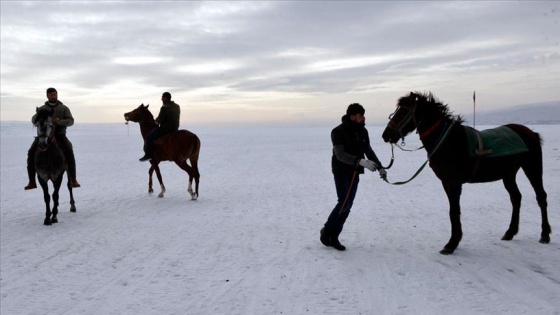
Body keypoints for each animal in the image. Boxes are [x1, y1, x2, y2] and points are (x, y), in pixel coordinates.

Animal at [380, 92, 552, 256]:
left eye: (403, 111)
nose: (386, 135)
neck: (448, 142)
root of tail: (531, 133)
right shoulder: (446, 182)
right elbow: (453, 210)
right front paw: (454, 241)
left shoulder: (454, 183)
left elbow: (454, 211)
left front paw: (451, 244)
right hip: (509, 174)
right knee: (516, 198)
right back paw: (510, 232)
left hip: (532, 168)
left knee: (541, 196)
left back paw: (545, 234)